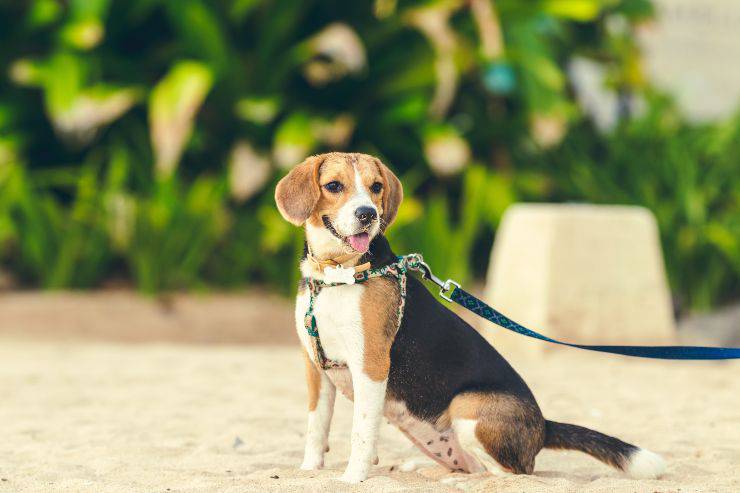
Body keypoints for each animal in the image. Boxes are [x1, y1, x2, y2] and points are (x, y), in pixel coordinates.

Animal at [274, 152, 668, 482]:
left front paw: (353, 479)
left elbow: (361, 432)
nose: (368, 214)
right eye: (334, 186)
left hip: (467, 405)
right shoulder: (316, 368)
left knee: (514, 473)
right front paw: (309, 470)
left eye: (376, 187)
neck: (335, 275)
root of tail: (543, 425)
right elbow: (317, 427)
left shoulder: (370, 364)